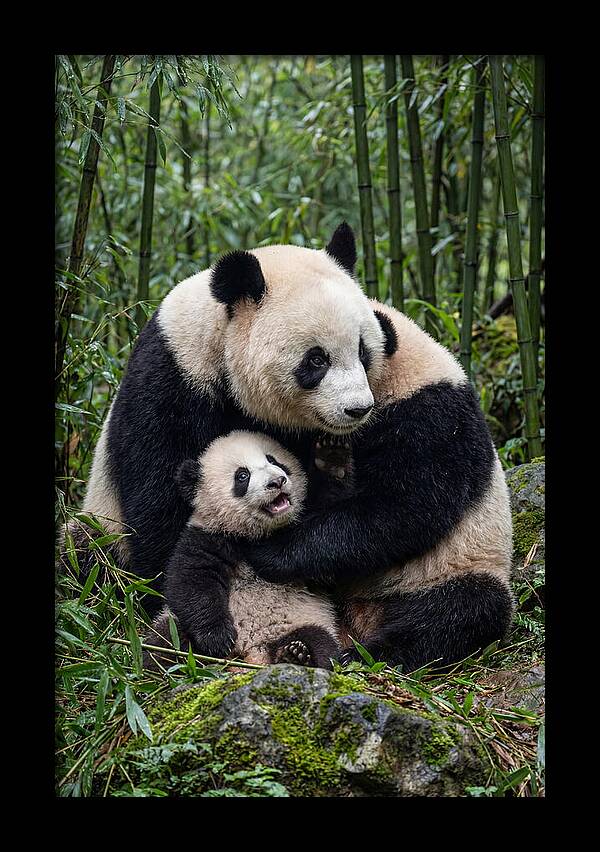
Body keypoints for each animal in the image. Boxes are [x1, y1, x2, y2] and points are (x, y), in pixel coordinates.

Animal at [143, 429, 346, 671]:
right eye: (242, 476)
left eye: (274, 461)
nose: (277, 481)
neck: (255, 533)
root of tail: (251, 653)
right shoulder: (207, 536)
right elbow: (192, 581)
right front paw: (218, 638)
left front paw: (332, 459)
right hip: (174, 625)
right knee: (164, 641)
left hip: (303, 620)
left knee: (320, 643)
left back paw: (296, 655)